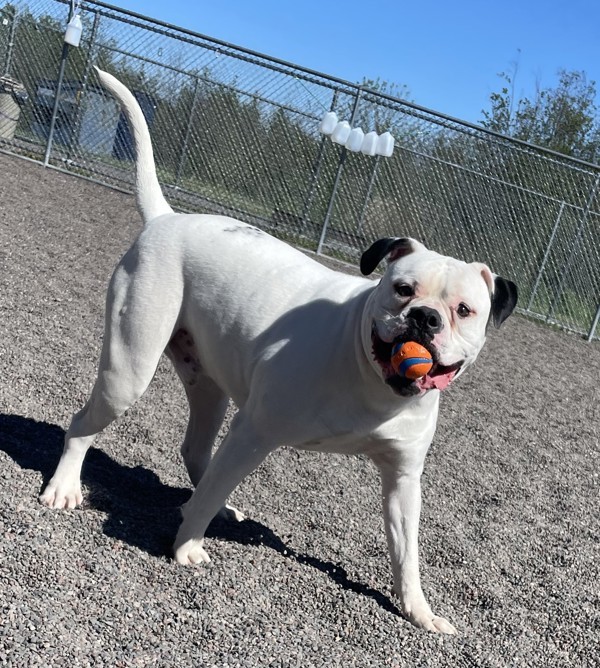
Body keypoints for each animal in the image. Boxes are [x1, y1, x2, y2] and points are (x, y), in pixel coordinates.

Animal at [39, 69, 516, 636]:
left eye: (464, 309)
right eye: (402, 289)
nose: (425, 317)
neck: (370, 378)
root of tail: (166, 219)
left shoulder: (403, 480)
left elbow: (407, 555)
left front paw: (420, 611)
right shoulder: (256, 430)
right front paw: (186, 548)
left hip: (208, 385)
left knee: (198, 454)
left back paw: (217, 508)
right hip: (129, 370)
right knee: (88, 425)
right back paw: (66, 486)